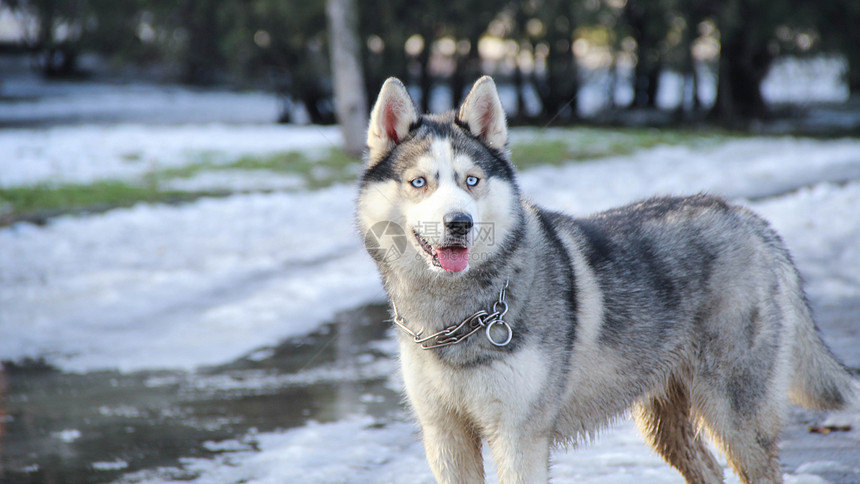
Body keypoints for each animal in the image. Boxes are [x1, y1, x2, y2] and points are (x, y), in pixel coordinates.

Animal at [352, 76, 856, 484]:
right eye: (420, 183)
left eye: (471, 180)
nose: (459, 223)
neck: (457, 315)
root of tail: (749, 218)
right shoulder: (445, 437)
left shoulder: (518, 438)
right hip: (664, 426)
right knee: (709, 471)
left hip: (736, 419)